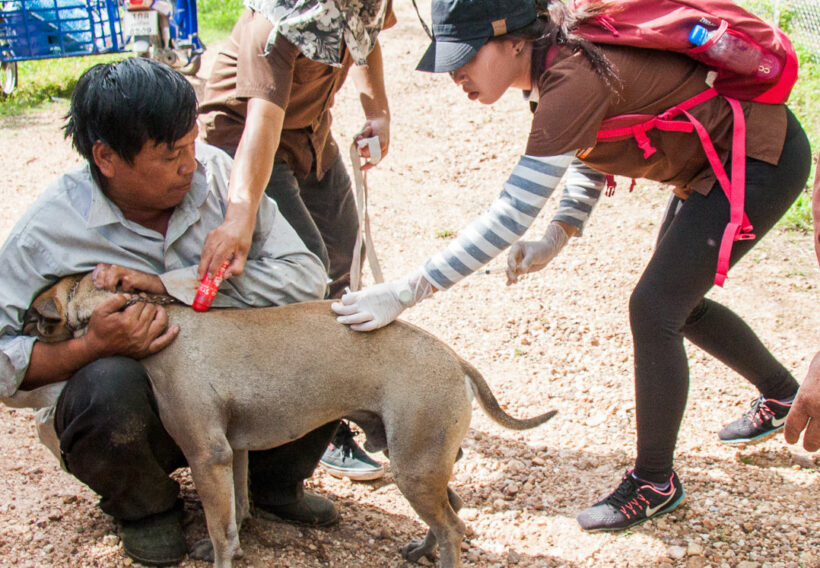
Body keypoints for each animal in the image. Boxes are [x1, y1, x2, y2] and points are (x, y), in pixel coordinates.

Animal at [25, 272, 556, 564]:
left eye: (36, 318)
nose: (18, 328)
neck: (165, 321)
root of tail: (454, 359)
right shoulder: (232, 452)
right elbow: (237, 511)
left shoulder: (206, 455)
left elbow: (221, 530)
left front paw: (220, 554)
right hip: (416, 460)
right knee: (455, 510)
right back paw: (419, 551)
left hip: (414, 467)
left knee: (452, 528)